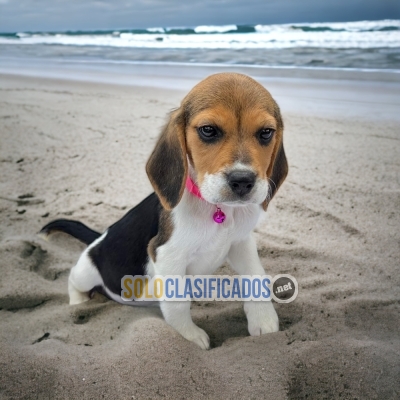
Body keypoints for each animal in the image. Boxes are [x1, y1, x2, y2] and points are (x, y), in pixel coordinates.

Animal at [40, 73, 288, 348]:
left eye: (266, 133)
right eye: (208, 130)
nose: (242, 180)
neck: (219, 210)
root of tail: (98, 238)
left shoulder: (242, 242)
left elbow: (255, 275)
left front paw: (263, 319)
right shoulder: (167, 254)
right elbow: (178, 303)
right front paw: (189, 337)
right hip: (88, 270)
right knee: (74, 278)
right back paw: (78, 301)